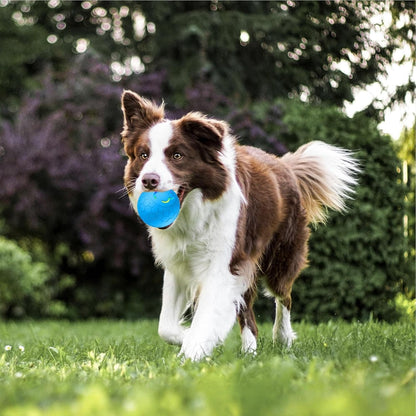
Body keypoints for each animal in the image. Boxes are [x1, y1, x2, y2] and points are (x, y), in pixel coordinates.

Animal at [121, 91, 360, 360]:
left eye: (177, 156)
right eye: (143, 155)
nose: (148, 180)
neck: (194, 213)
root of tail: (285, 165)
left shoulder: (224, 263)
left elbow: (206, 316)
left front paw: (193, 350)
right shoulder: (179, 264)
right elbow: (166, 327)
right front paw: (193, 339)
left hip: (280, 256)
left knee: (284, 296)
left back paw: (282, 337)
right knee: (248, 313)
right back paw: (249, 351)